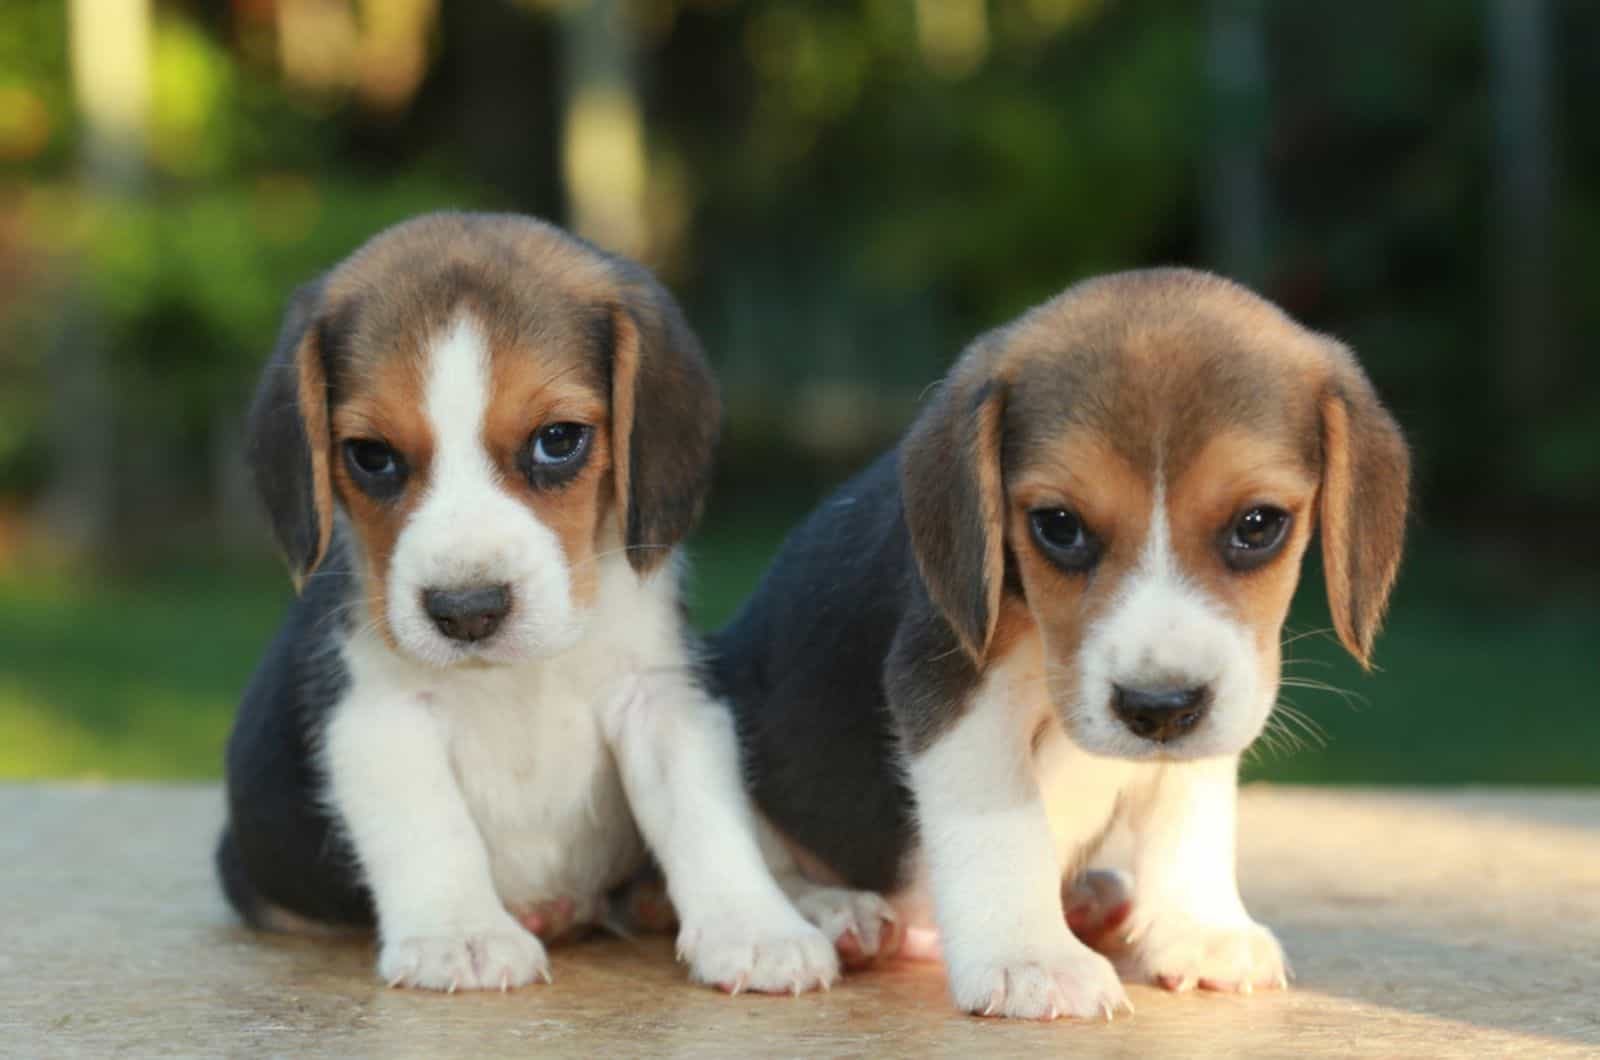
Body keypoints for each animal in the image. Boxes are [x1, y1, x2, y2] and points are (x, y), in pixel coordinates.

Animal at [220, 214, 851, 999]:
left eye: (558, 441)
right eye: (371, 455)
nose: (466, 610)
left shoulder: (662, 698)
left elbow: (706, 816)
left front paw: (756, 927)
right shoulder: (376, 715)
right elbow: (430, 823)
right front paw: (459, 933)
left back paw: (829, 905)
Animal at [716, 267, 1414, 1024]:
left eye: (1258, 525)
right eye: (1057, 525)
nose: (1159, 708)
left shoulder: (1229, 687)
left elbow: (1192, 807)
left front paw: (1201, 928)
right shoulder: (951, 693)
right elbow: (1002, 820)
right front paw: (1031, 959)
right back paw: (837, 913)